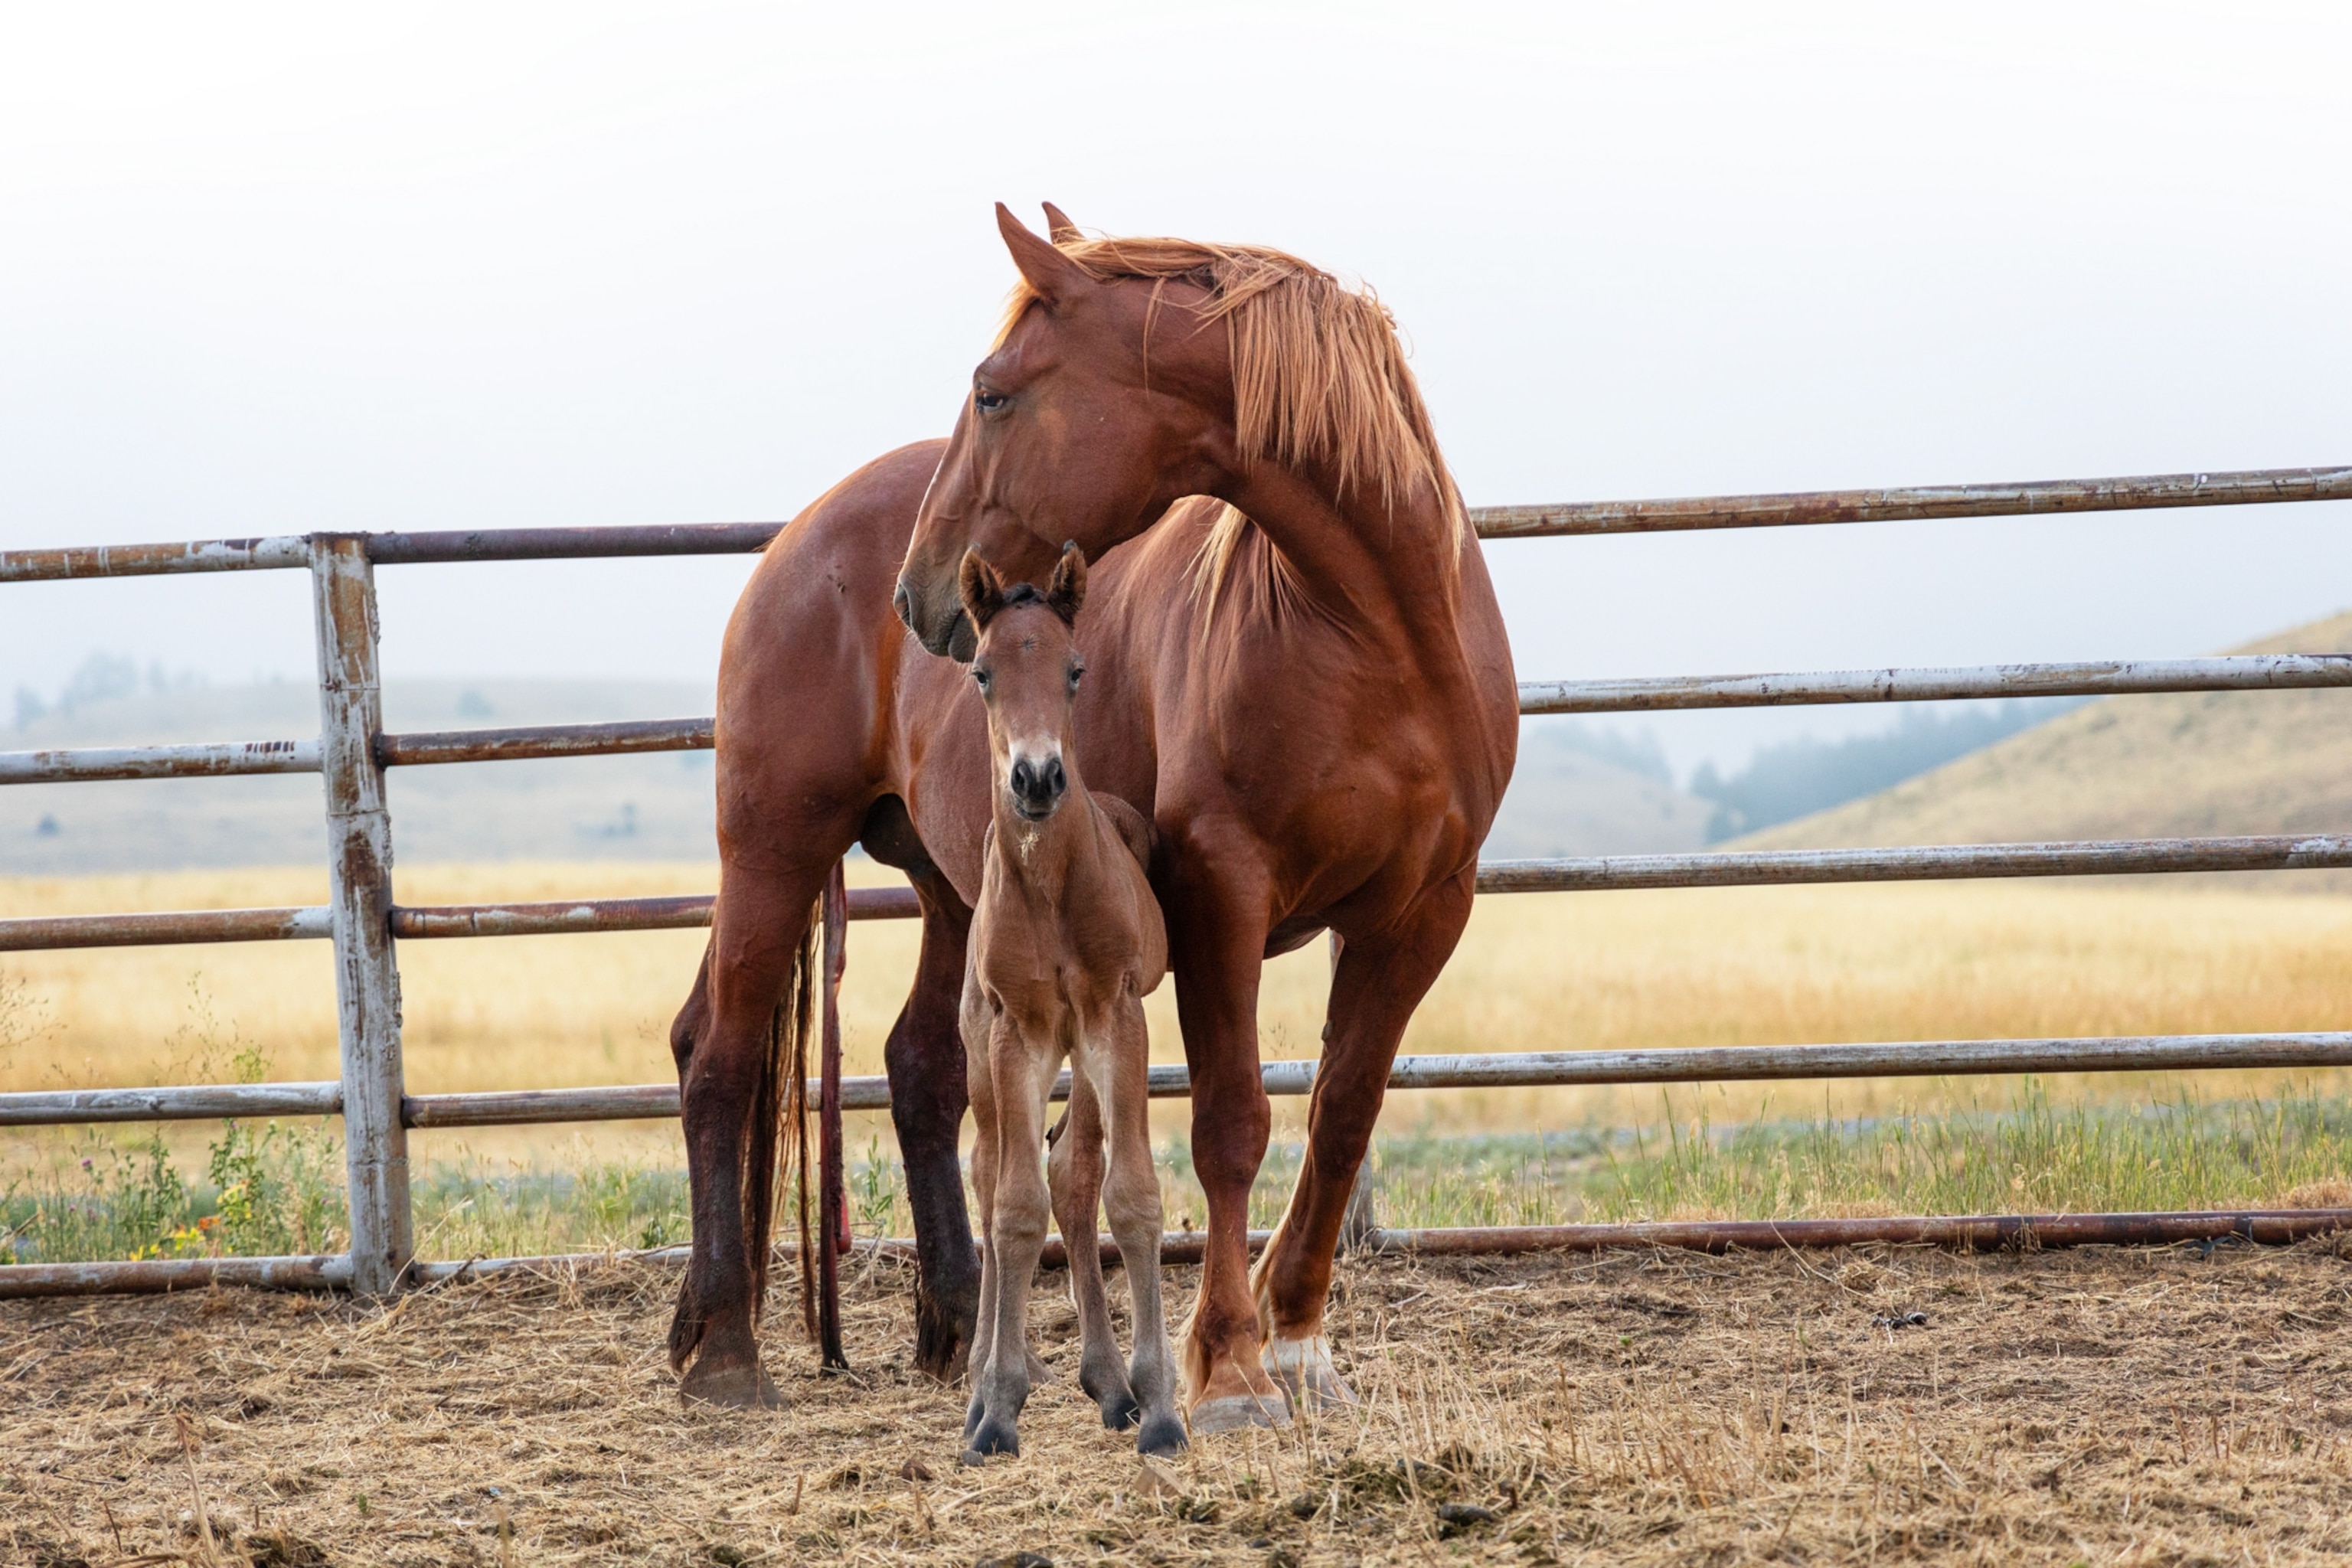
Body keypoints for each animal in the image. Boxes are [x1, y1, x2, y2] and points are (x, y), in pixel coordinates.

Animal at [953, 543, 1184, 1463]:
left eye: (1075, 670)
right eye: (982, 671)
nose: (1038, 777)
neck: (1050, 889)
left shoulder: (1116, 1018)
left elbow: (1132, 1194)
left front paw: (1159, 1406)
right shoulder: (1017, 1032)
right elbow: (1015, 1209)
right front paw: (995, 1409)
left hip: (1085, 1052)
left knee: (1073, 1171)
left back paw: (1110, 1384)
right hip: (982, 1053)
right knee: (990, 1172)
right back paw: (983, 1375)